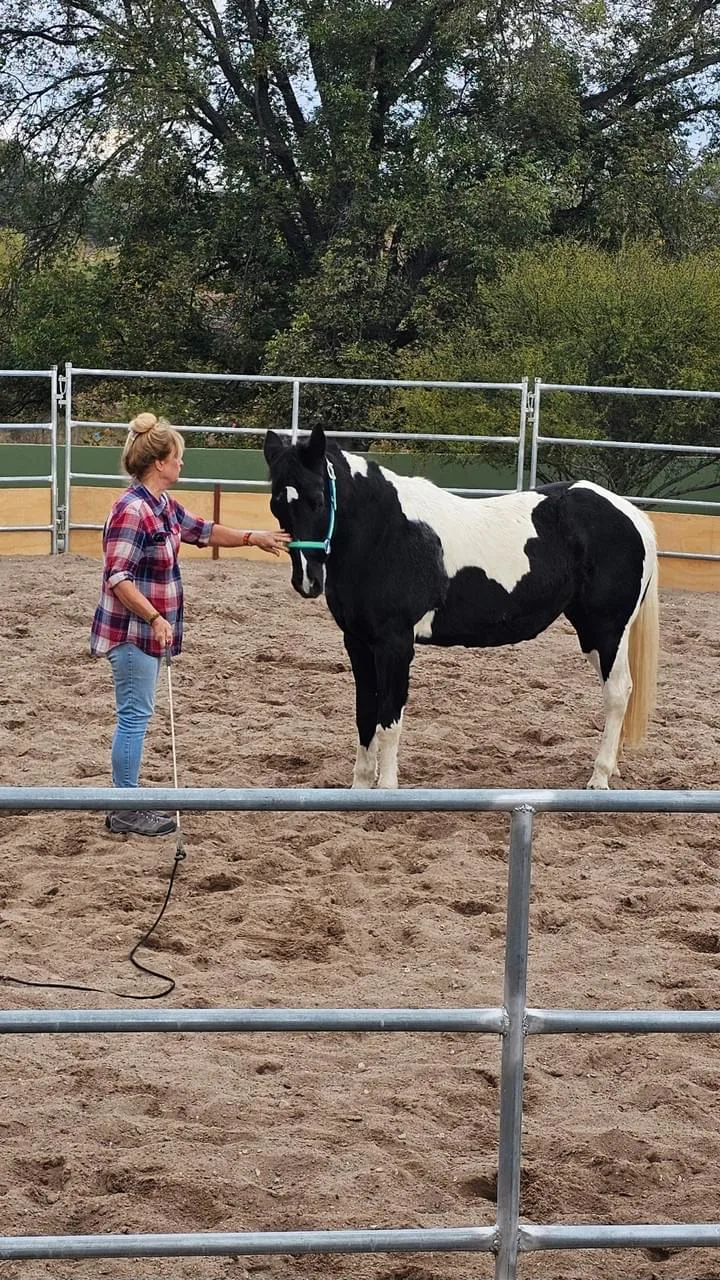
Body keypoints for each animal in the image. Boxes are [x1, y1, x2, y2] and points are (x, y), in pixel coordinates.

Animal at [264, 426, 659, 790]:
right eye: (277, 505)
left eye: (317, 499)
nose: (308, 581)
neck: (385, 533)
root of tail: (629, 513)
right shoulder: (358, 642)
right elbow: (365, 716)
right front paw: (359, 789)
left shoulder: (395, 644)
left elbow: (389, 720)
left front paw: (386, 791)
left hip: (605, 629)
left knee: (617, 692)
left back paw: (599, 777)